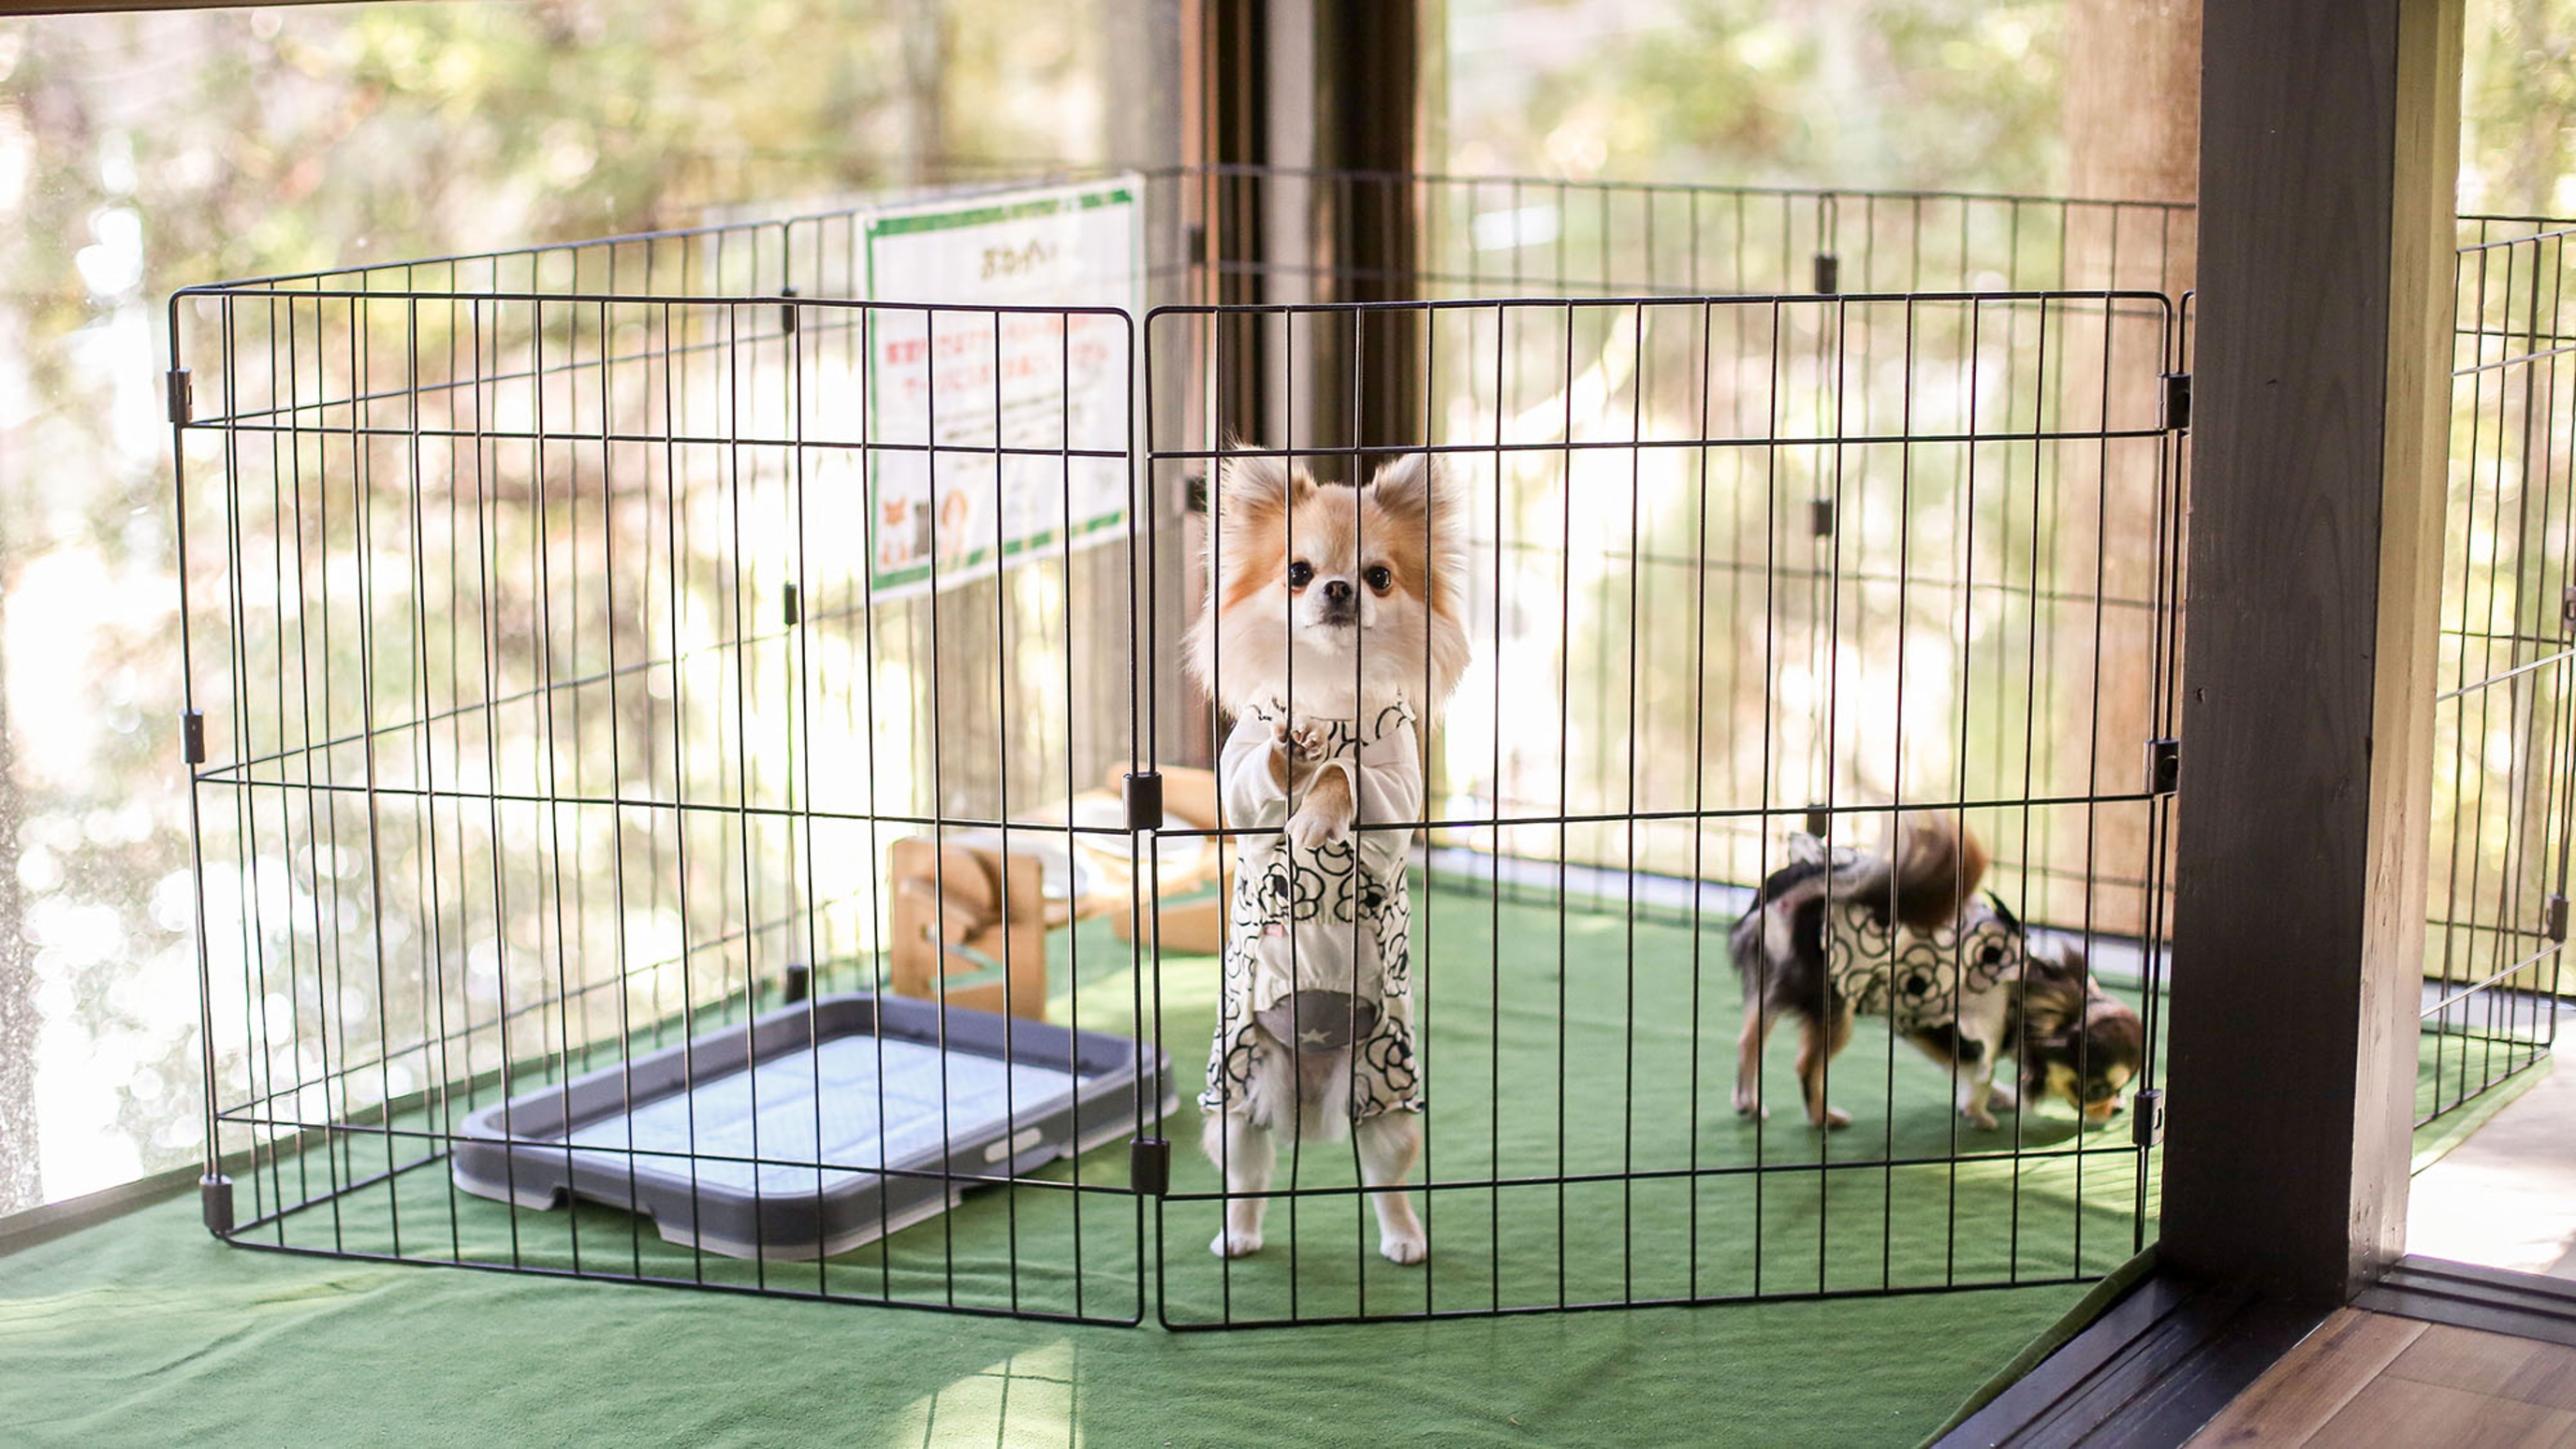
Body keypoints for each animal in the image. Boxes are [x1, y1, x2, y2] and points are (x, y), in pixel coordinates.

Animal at [1184, 446, 1473, 1258]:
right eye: (1298, 572)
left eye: (1378, 576)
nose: (1339, 589)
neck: (1330, 692)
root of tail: (1311, 1097)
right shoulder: (1239, 781)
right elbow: (1260, 783)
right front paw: (1294, 758)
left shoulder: (1398, 789)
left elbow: (1352, 778)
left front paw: (1321, 808)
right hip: (1237, 1092)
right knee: (1248, 1176)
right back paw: (1239, 1235)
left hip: (1384, 1092)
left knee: (1386, 1182)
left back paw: (1405, 1240)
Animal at [1731, 814, 2153, 1129]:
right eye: (2097, 1089)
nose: (2118, 1108)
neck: (2027, 996)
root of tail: (1789, 893)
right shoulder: (1954, 1026)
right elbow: (1977, 1073)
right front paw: (1981, 1111)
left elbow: (1970, 1072)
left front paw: (1996, 1098)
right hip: (1834, 1004)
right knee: (1806, 1065)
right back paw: (1823, 1117)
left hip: (1769, 987)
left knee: (1749, 1040)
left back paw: (1748, 1102)